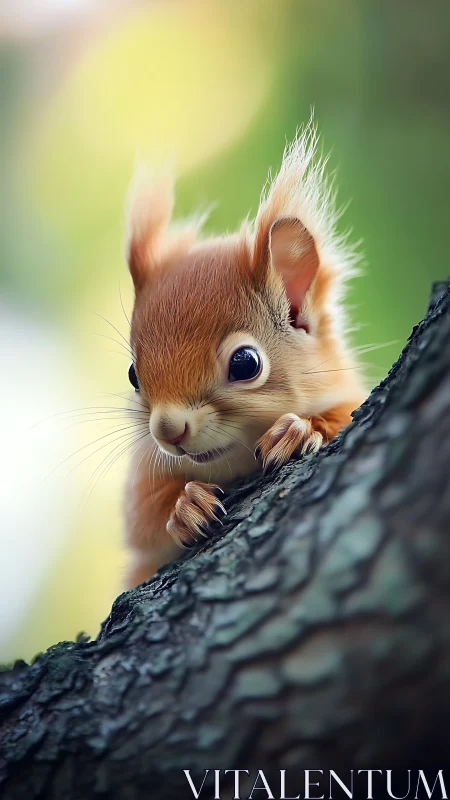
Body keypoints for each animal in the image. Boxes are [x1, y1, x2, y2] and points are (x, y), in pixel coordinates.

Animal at [122, 121, 366, 588]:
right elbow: (142, 517)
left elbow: (343, 412)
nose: (167, 431)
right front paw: (184, 506)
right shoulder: (143, 477)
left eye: (245, 363)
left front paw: (300, 431)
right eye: (132, 375)